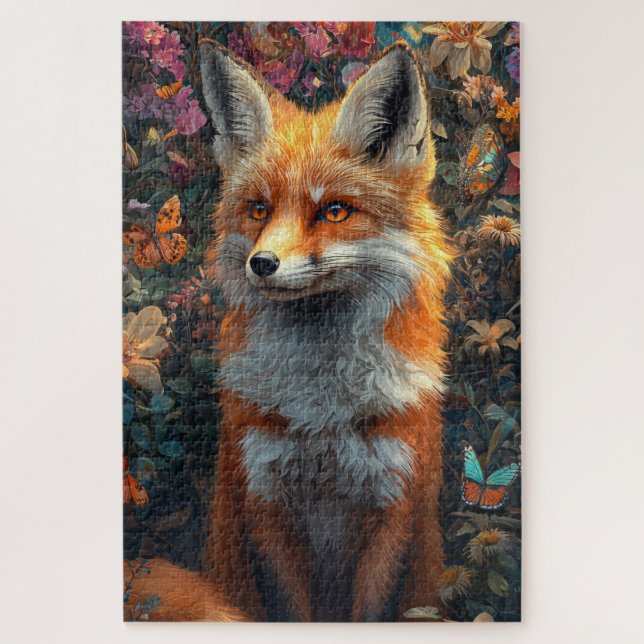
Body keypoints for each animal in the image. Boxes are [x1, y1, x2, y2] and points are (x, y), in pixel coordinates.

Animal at [125, 38, 453, 622]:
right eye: (259, 209)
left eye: (334, 211)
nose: (262, 264)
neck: (322, 411)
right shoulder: (264, 502)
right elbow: (289, 607)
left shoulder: (394, 504)